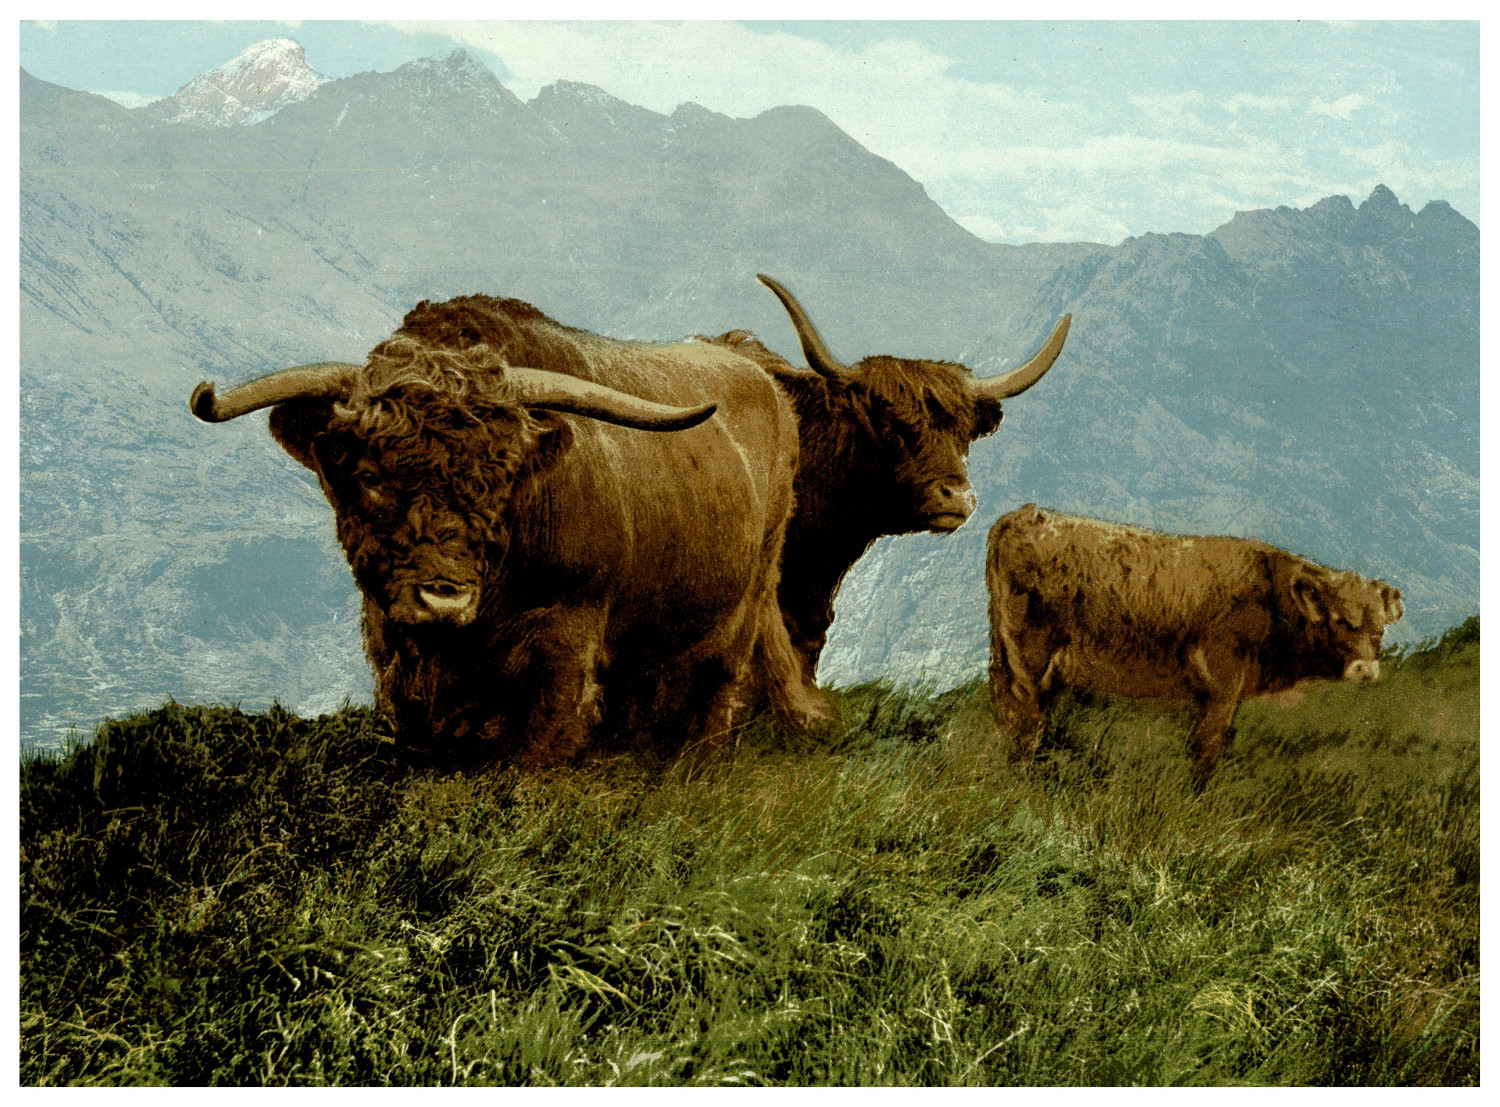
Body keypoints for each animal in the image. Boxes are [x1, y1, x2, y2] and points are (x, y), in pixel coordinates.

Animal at [190, 294, 821, 770]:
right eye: (369, 475)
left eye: (502, 475)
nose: (443, 598)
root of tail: (760, 374)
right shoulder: (393, 653)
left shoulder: (566, 648)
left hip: (743, 608)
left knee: (716, 697)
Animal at [986, 505, 1404, 787]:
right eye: (1340, 619)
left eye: (1380, 628)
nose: (1366, 670)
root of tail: (1026, 515)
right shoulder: (1221, 683)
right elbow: (1205, 751)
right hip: (1029, 658)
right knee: (1023, 722)